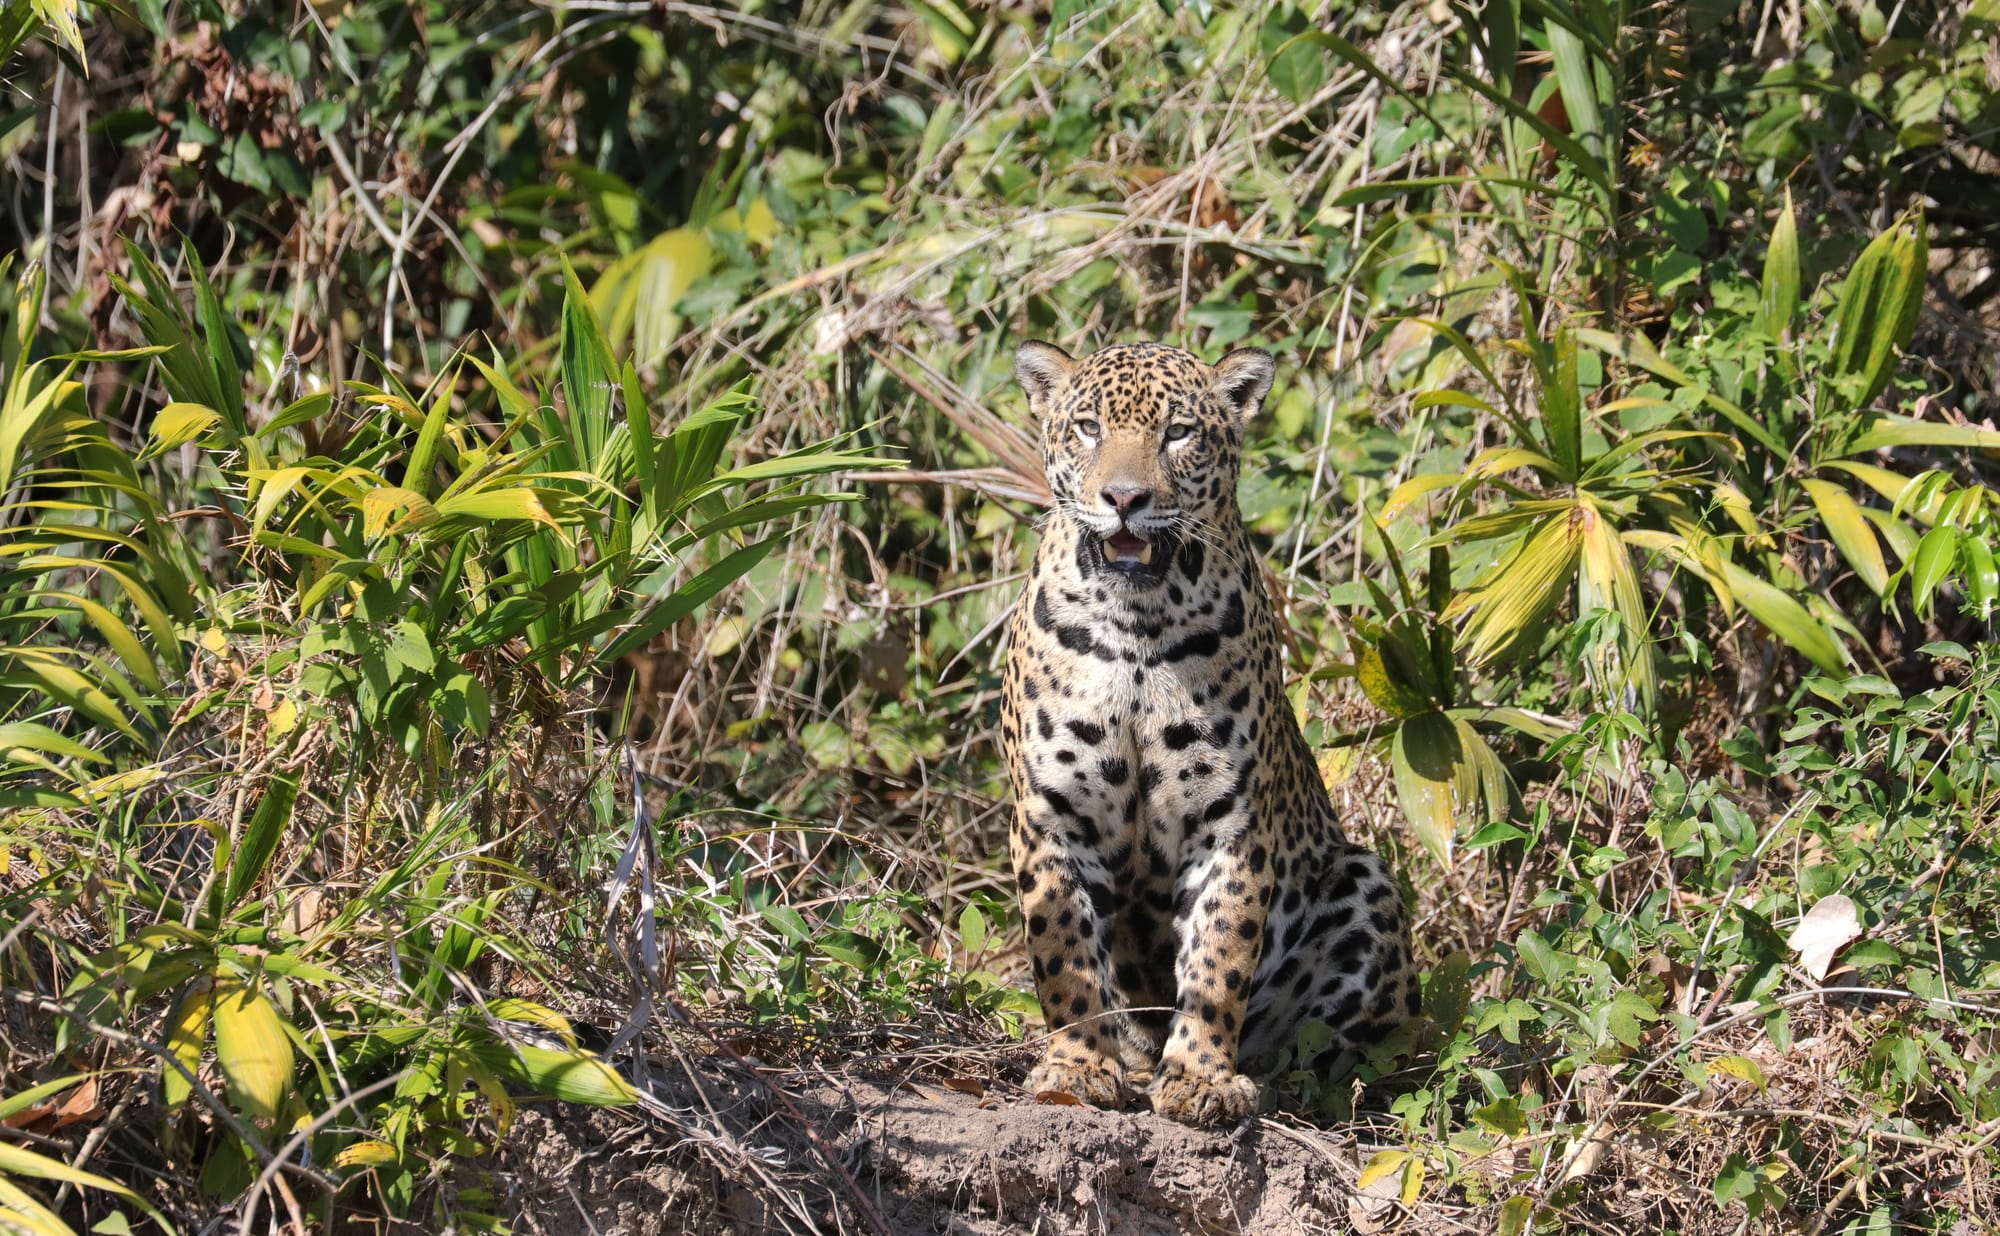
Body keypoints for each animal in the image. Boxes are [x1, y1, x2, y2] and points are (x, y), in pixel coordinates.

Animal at [1000, 340, 1420, 1127]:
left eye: (1178, 433)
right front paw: (1079, 1067)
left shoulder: (1231, 824)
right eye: (1088, 429)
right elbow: (1065, 954)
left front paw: (1201, 1078)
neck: (1136, 625)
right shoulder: (1052, 816)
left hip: (1365, 882)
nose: (1124, 498)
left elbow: (1219, 958)